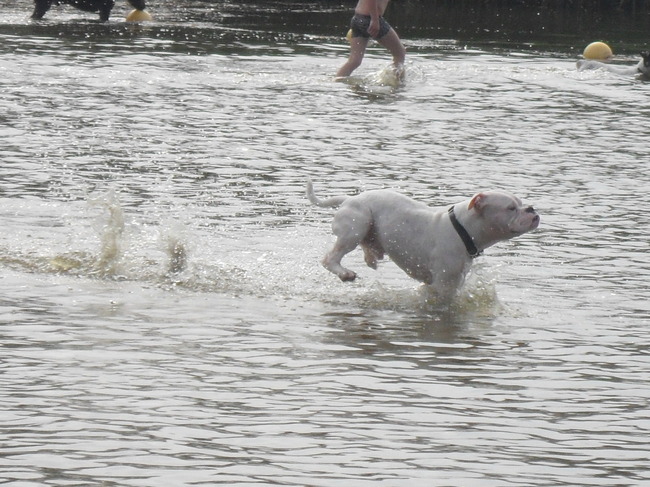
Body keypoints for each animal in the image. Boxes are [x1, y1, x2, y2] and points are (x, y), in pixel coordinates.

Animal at [307, 181, 540, 299]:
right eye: (511, 208)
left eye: (521, 203)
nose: (532, 209)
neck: (462, 228)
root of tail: (349, 199)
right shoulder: (444, 285)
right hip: (356, 226)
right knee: (330, 258)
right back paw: (345, 273)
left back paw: (371, 257)